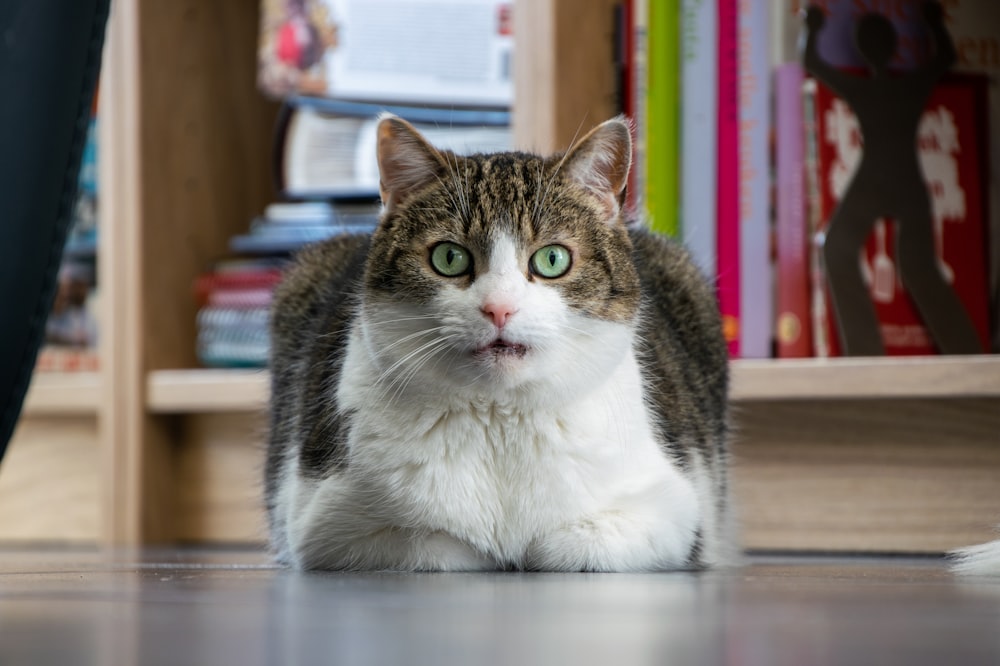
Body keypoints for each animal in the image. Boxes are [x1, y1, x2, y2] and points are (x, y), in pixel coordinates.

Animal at [264, 115, 736, 572]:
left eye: (552, 259)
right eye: (449, 257)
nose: (499, 309)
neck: (500, 419)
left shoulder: (672, 512)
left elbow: (565, 546)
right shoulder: (327, 524)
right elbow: (446, 544)